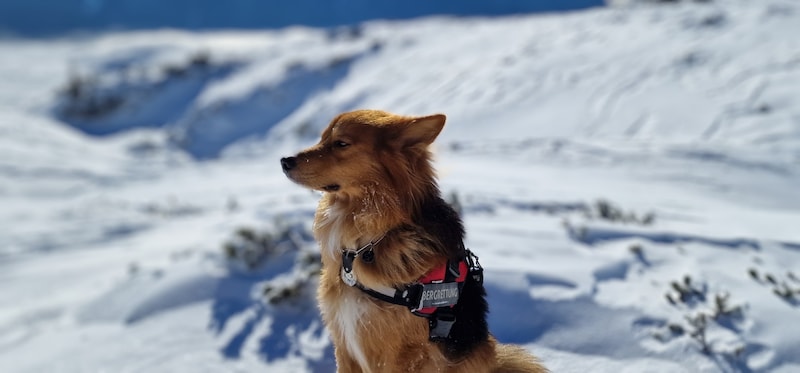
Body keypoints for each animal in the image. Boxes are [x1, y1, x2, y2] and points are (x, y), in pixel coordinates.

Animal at [278, 109, 548, 370]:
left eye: (341, 143)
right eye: (322, 138)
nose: (285, 161)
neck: (371, 239)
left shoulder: (403, 355)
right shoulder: (345, 347)